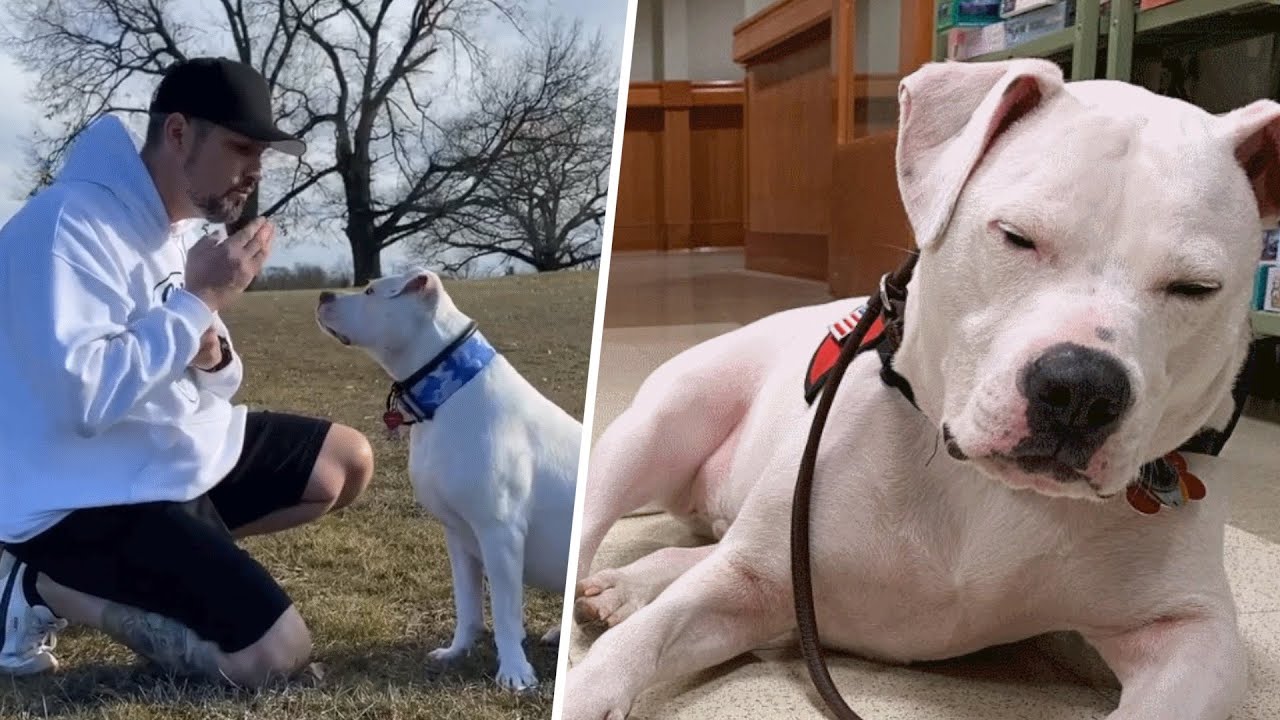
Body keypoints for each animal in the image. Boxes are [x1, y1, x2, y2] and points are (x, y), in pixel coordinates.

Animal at [314, 269, 581, 691]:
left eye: (372, 291)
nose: (323, 295)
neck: (446, 392)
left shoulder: (499, 533)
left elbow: (505, 611)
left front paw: (514, 672)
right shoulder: (458, 535)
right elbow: (467, 604)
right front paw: (457, 650)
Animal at [570, 57, 1280, 717]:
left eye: (1195, 288)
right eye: (1016, 237)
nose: (1080, 391)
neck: (986, 485)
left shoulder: (1191, 635)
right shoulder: (748, 582)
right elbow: (641, 642)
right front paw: (587, 686)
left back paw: (628, 585)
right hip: (658, 427)